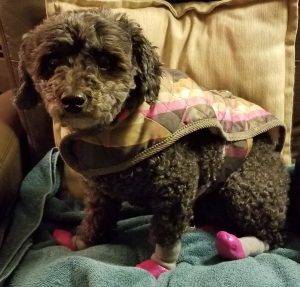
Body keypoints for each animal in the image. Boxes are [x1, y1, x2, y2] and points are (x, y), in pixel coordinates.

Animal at [15, 7, 290, 276]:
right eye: (51, 63)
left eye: (105, 62)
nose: (73, 99)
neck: (114, 127)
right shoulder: (99, 191)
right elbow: (96, 217)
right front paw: (81, 241)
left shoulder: (177, 185)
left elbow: (166, 232)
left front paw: (158, 265)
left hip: (244, 187)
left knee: (272, 236)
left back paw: (236, 245)